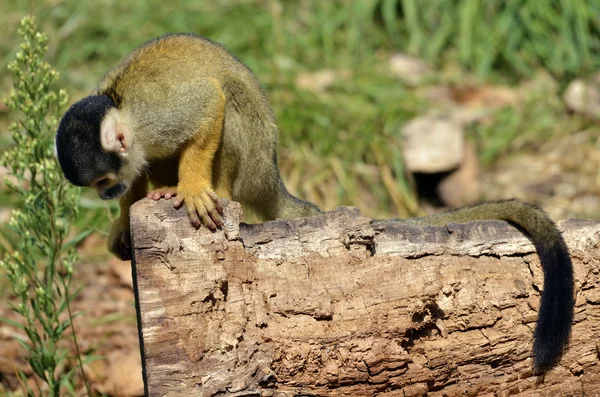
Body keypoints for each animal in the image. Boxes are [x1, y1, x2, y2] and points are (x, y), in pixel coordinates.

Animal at [55, 34, 324, 260]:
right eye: (95, 186)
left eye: (103, 181)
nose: (105, 195)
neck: (129, 121)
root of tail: (271, 176)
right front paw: (124, 220)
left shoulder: (156, 119)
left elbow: (210, 99)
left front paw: (193, 188)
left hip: (255, 159)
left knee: (228, 90)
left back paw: (219, 190)